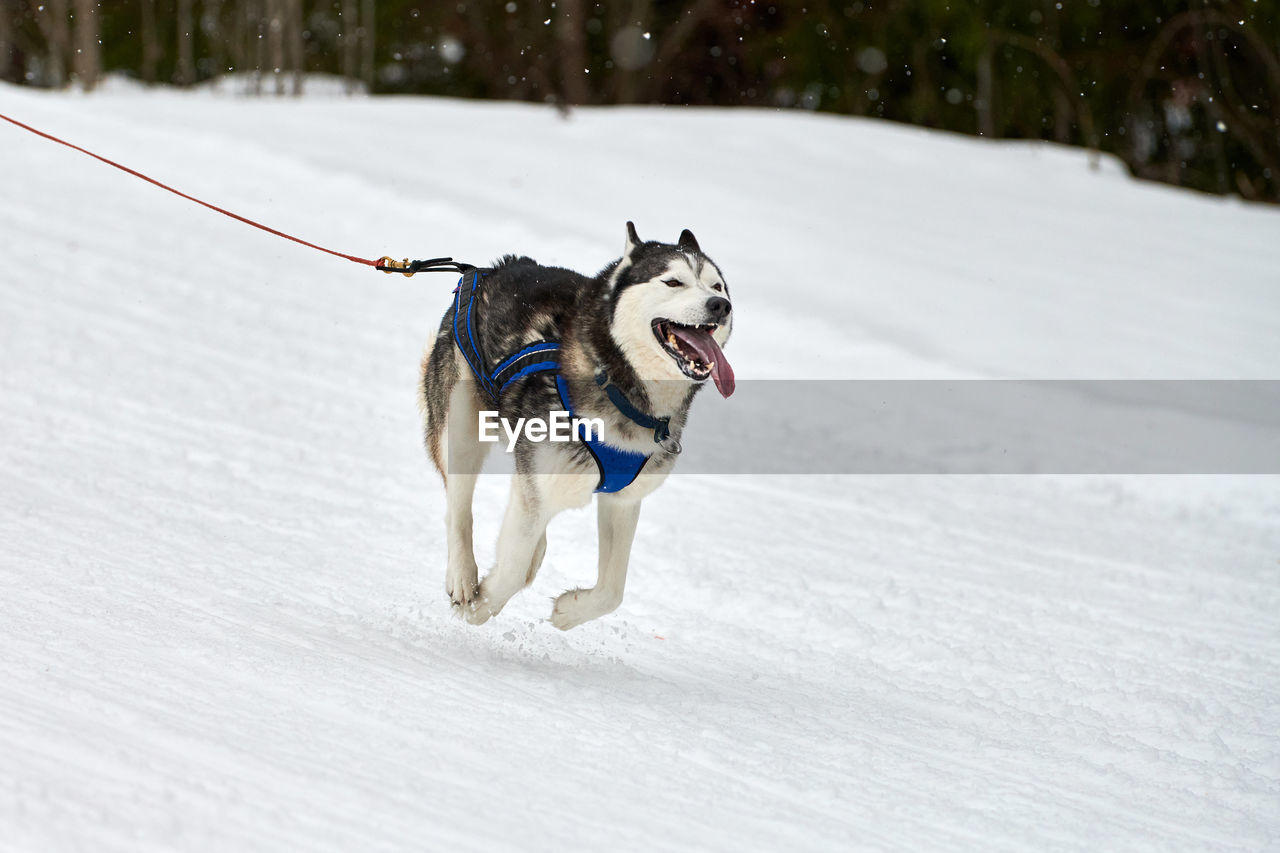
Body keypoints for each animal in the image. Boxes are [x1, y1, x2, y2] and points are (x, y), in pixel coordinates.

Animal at [419, 222, 737, 627]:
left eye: (717, 286)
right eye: (673, 282)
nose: (720, 305)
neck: (621, 391)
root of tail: (489, 270)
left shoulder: (623, 499)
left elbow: (612, 592)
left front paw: (567, 612)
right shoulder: (541, 480)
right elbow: (510, 570)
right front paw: (480, 607)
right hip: (460, 427)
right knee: (459, 508)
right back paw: (463, 577)